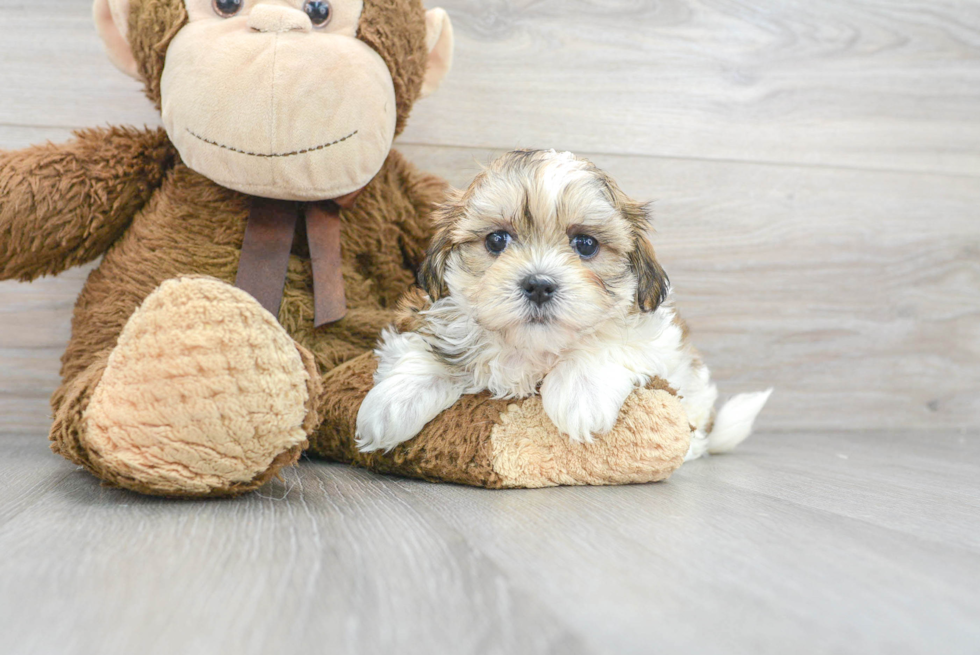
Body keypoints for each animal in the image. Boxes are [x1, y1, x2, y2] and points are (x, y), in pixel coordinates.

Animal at [356, 151, 768, 458]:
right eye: (496, 240)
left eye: (585, 244)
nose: (538, 285)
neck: (530, 350)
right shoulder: (426, 312)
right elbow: (429, 347)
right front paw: (391, 404)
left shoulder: (658, 337)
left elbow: (607, 340)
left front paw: (579, 392)